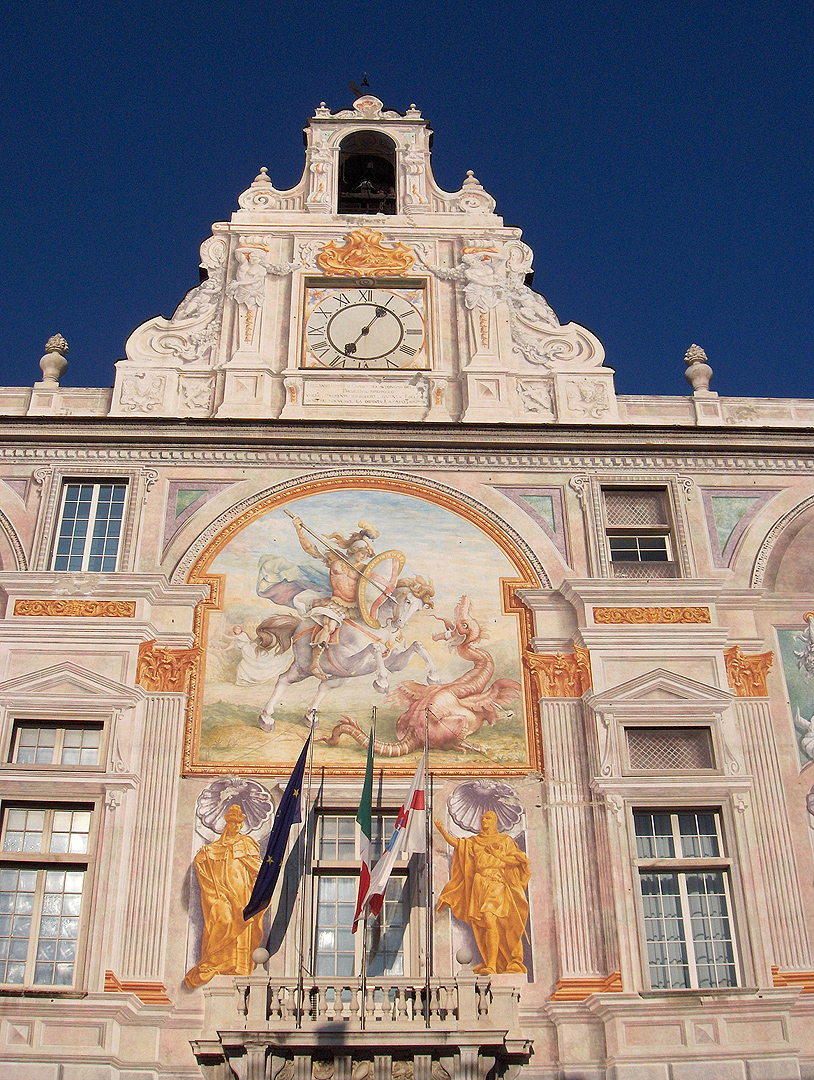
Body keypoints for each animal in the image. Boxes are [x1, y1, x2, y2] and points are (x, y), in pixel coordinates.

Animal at [258, 578, 438, 730]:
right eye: (408, 601)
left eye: (419, 608)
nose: (400, 623)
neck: (382, 629)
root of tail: (298, 627)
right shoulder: (347, 663)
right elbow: (375, 647)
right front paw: (381, 682)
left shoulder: (393, 664)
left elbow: (418, 645)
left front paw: (433, 676)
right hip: (303, 668)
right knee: (284, 680)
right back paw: (266, 718)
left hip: (341, 677)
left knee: (323, 686)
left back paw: (309, 716)